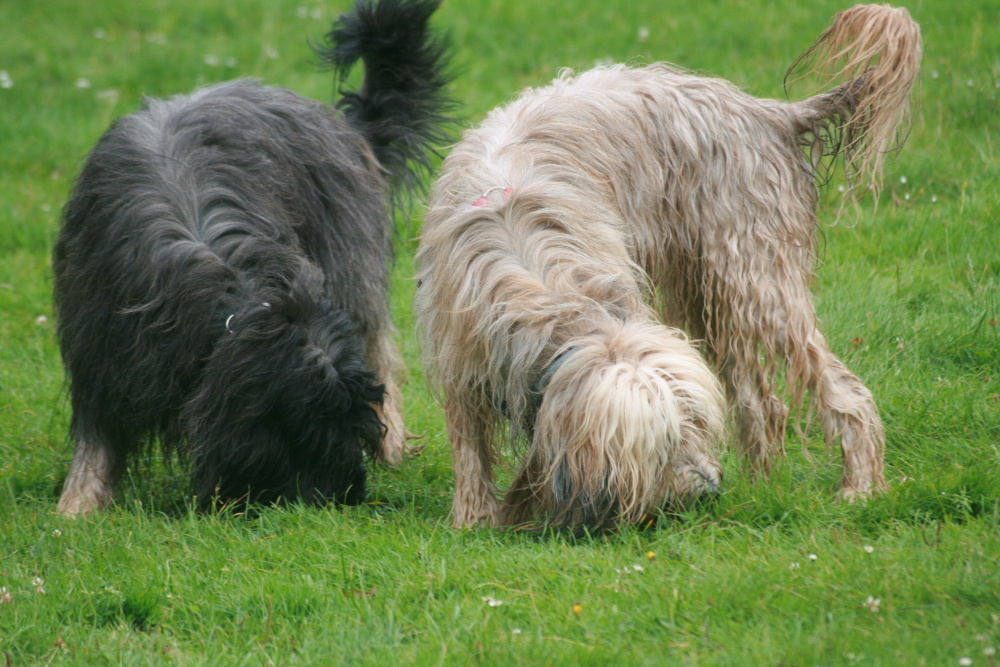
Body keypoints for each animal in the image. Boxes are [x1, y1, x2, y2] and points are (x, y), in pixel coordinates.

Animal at [50, 0, 450, 516]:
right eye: (308, 426)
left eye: (350, 424)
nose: (347, 496)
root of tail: (339, 123)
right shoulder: (99, 340)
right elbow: (97, 432)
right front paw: (77, 505)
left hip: (349, 255)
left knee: (376, 340)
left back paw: (394, 443)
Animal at [414, 2, 920, 528]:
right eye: (663, 446)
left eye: (694, 425)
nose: (708, 489)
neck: (539, 284)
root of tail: (766, 113)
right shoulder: (459, 358)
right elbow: (468, 446)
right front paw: (473, 521)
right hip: (710, 298)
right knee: (762, 404)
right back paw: (764, 486)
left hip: (755, 281)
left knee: (841, 391)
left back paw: (859, 486)